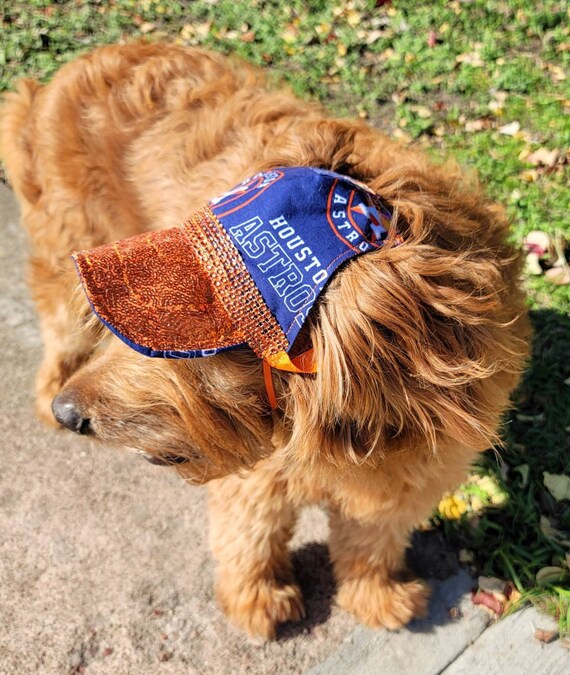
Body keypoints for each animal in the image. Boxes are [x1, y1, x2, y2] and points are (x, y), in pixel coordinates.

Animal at [0, 42, 528, 640]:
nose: (71, 414)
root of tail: (68, 70)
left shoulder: (416, 472)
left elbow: (372, 539)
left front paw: (375, 595)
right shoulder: (259, 475)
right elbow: (249, 532)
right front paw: (257, 600)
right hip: (69, 238)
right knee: (58, 321)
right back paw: (51, 387)